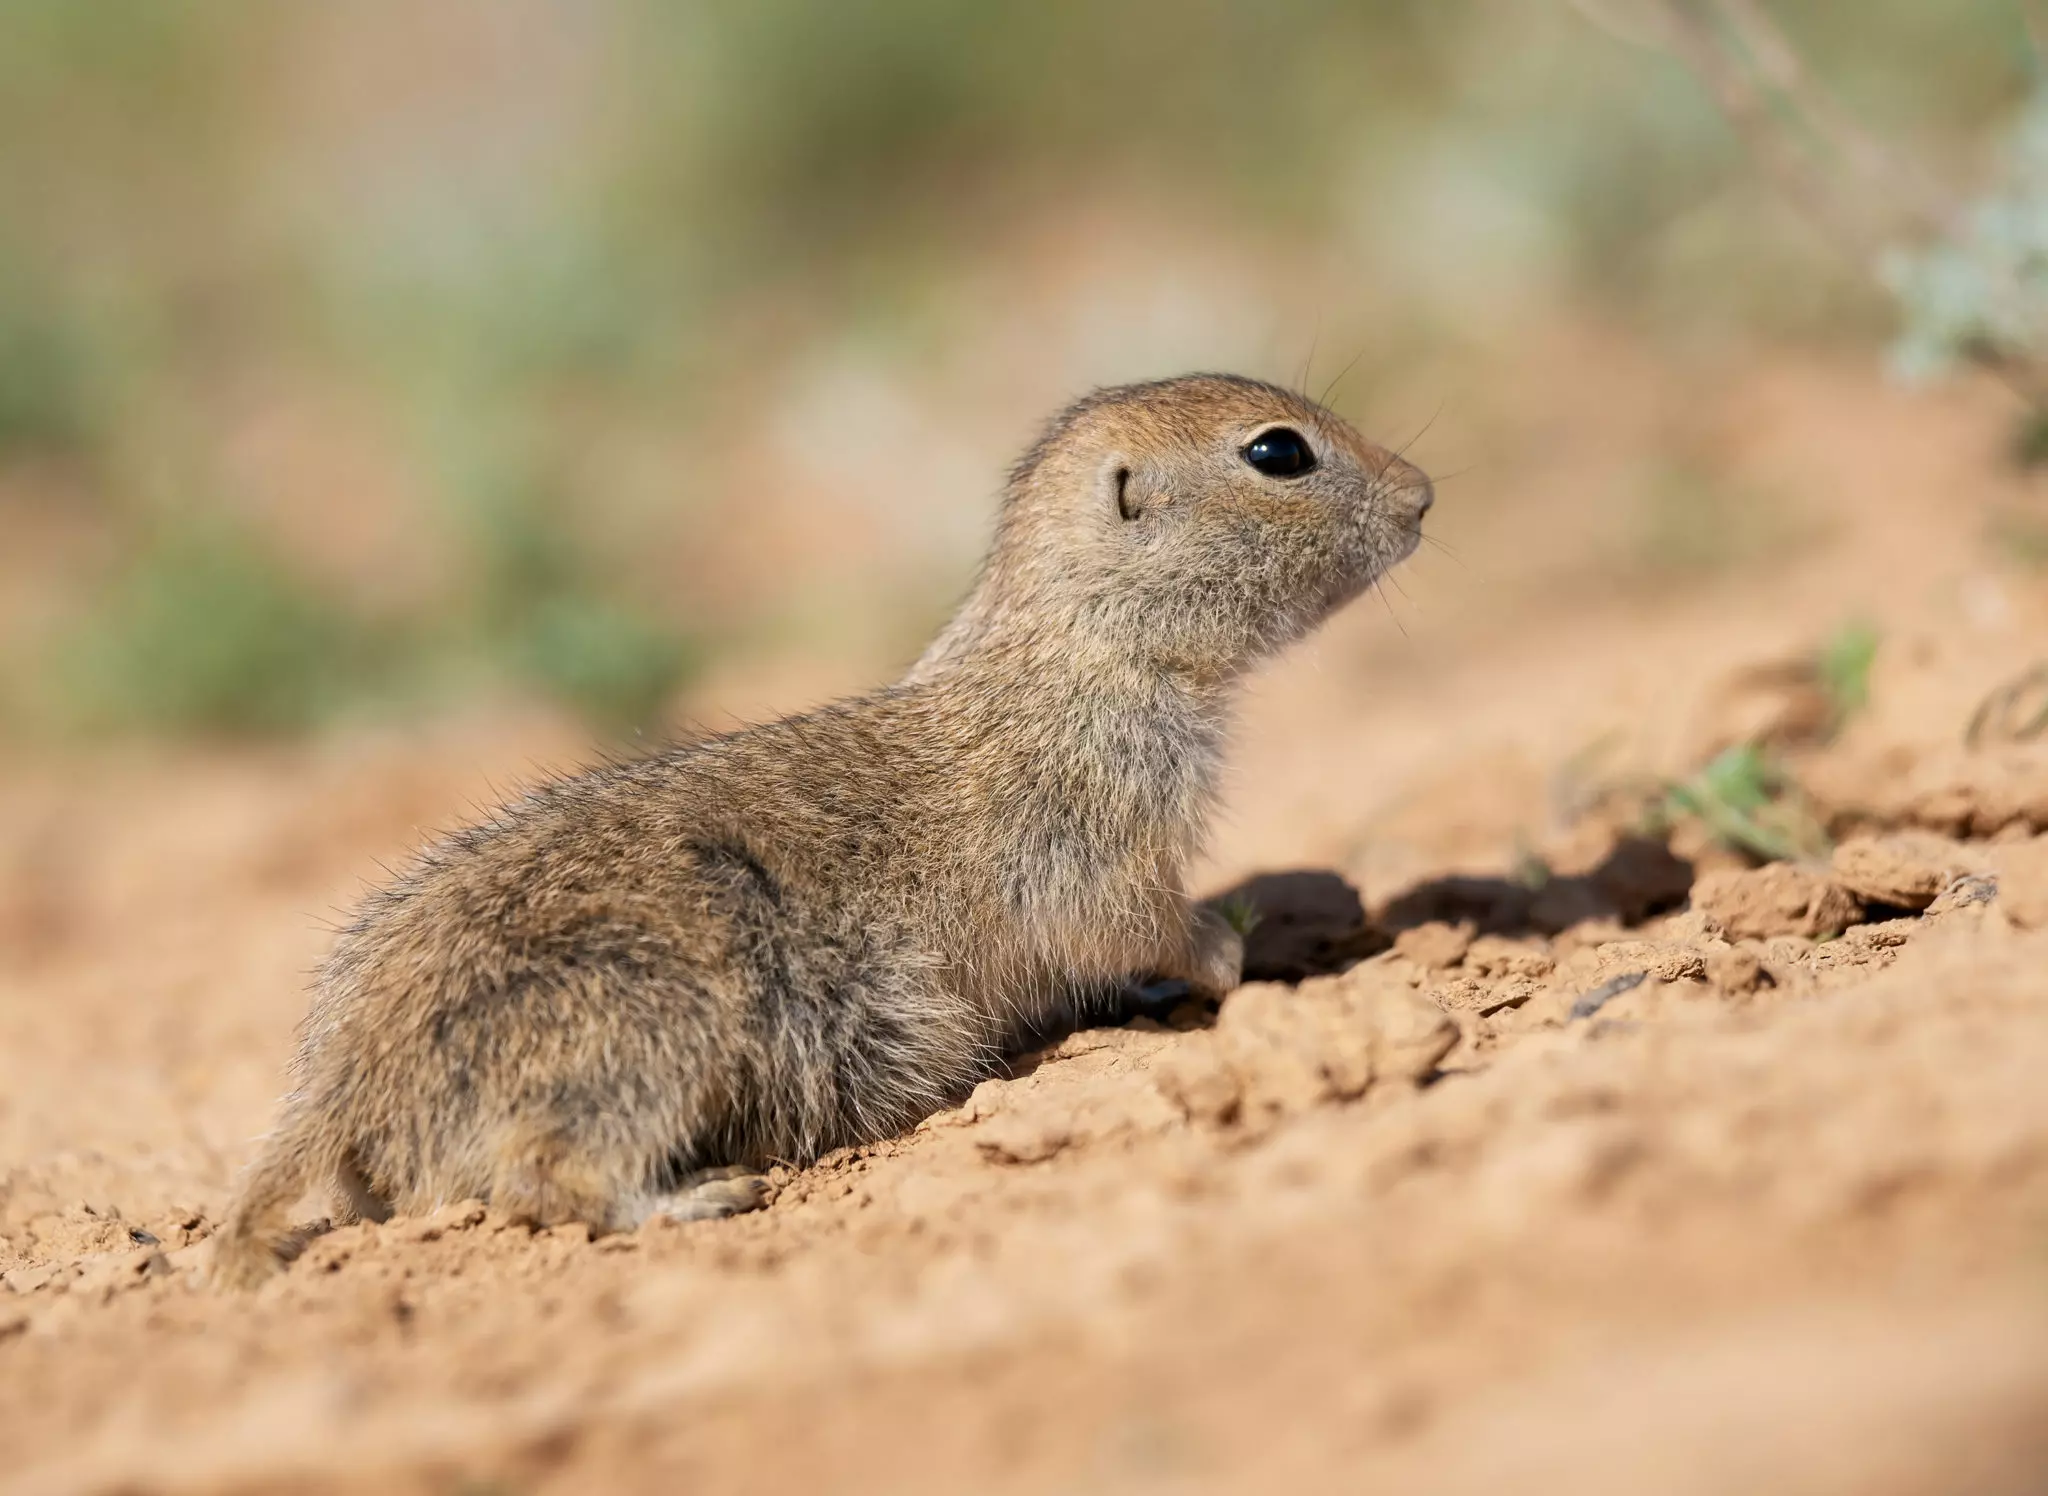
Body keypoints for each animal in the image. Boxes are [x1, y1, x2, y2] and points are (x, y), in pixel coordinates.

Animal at [207, 370, 1425, 1278]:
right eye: (1277, 453)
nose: (1421, 493)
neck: (1072, 649)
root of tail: (332, 1083)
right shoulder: (1092, 827)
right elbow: (1128, 919)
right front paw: (1231, 955)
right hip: (650, 1027)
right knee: (541, 1177)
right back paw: (694, 1199)